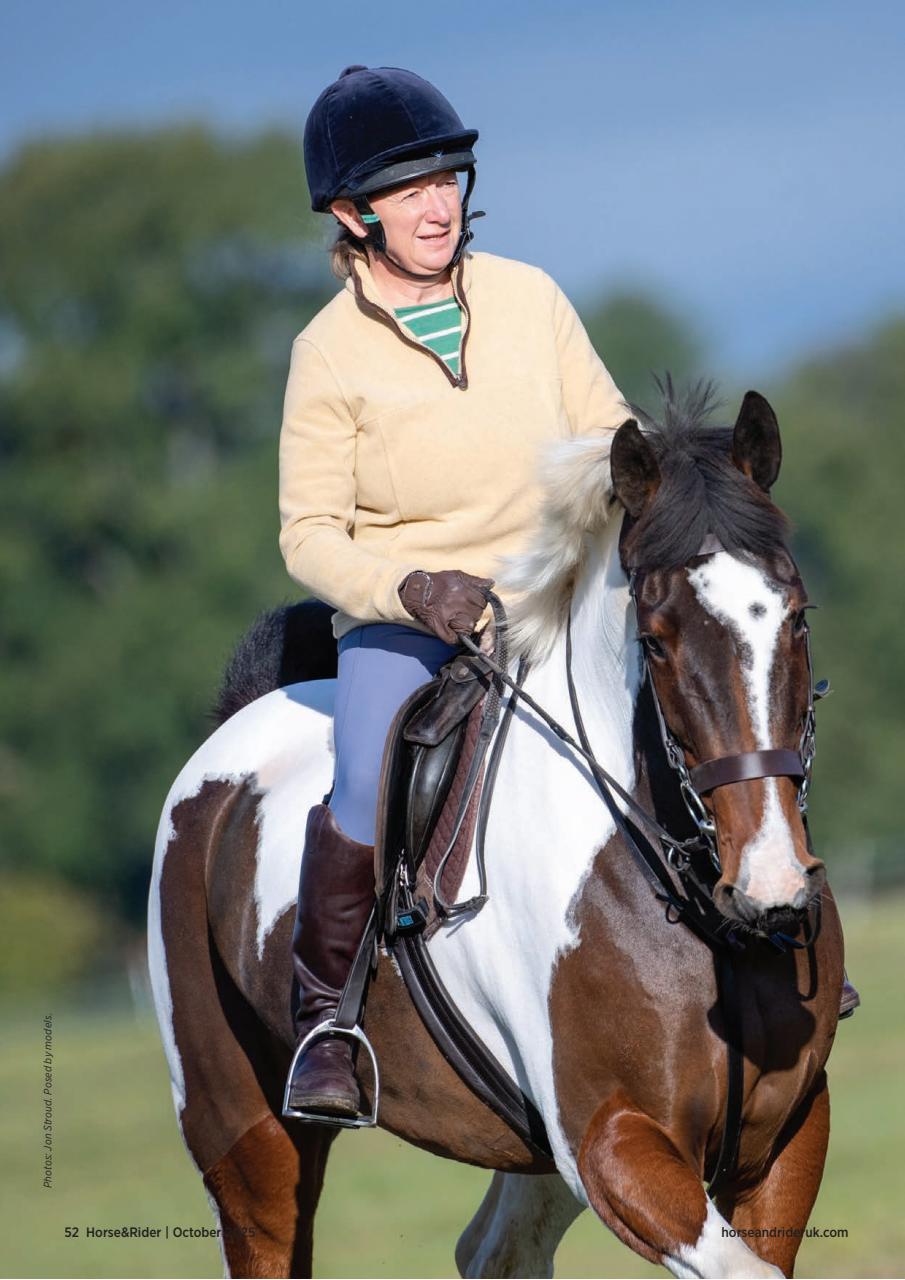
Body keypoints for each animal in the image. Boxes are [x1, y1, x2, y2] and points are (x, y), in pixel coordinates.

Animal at [148, 384, 845, 1278]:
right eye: (653, 642)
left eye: (796, 618)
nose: (770, 882)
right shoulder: (607, 1140)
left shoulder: (784, 1135)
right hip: (240, 1133)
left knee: (494, 1251)